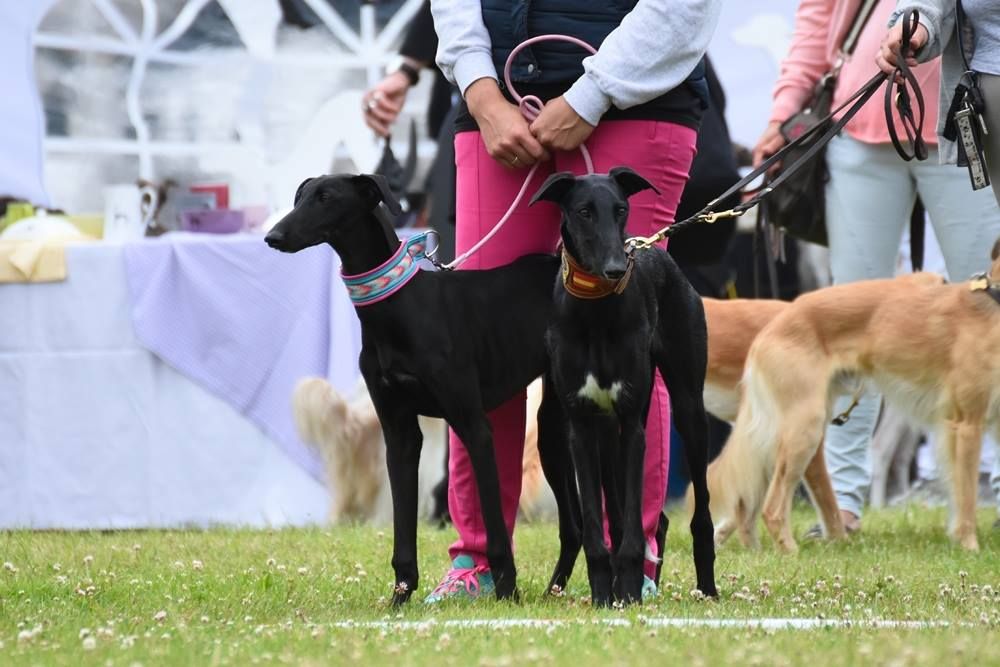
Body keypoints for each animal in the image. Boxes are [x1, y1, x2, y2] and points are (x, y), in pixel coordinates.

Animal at [262, 175, 584, 604]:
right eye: (300, 197)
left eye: (326, 197)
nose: (272, 237)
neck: (401, 304)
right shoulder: (398, 432)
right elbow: (403, 528)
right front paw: (400, 598)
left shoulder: (473, 426)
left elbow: (496, 531)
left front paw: (507, 592)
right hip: (552, 433)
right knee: (575, 526)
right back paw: (556, 589)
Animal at [532, 167, 720, 604]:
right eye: (584, 211)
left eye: (621, 209)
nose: (617, 268)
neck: (596, 311)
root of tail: (658, 251)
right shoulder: (581, 426)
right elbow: (595, 529)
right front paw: (605, 594)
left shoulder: (634, 424)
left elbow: (635, 528)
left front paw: (630, 593)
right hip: (573, 432)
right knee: (615, 516)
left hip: (688, 408)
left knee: (697, 514)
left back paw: (706, 587)